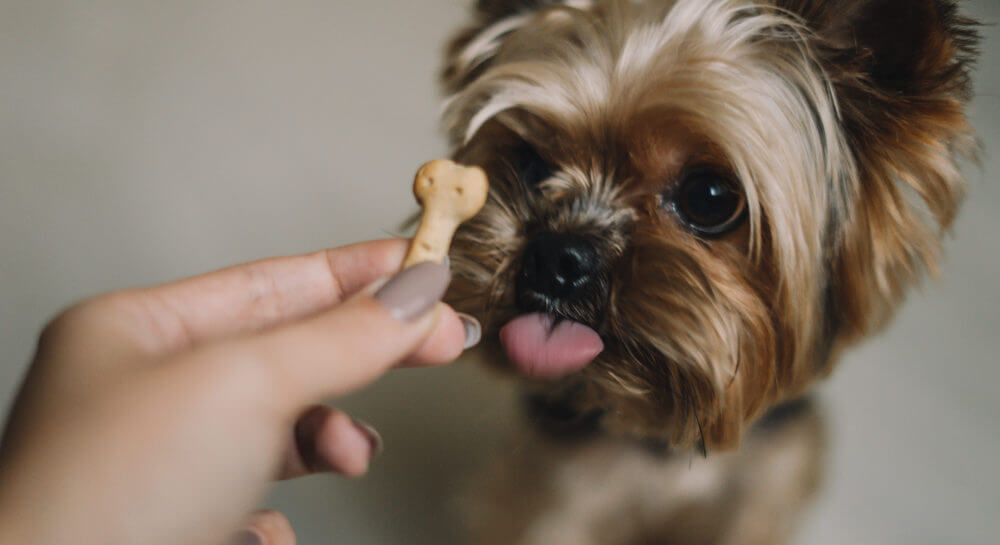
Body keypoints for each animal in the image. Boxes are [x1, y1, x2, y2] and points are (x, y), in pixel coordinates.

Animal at [436, 2, 976, 540]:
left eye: (710, 197)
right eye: (531, 165)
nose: (557, 256)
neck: (665, 442)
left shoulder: (765, 486)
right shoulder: (560, 489)